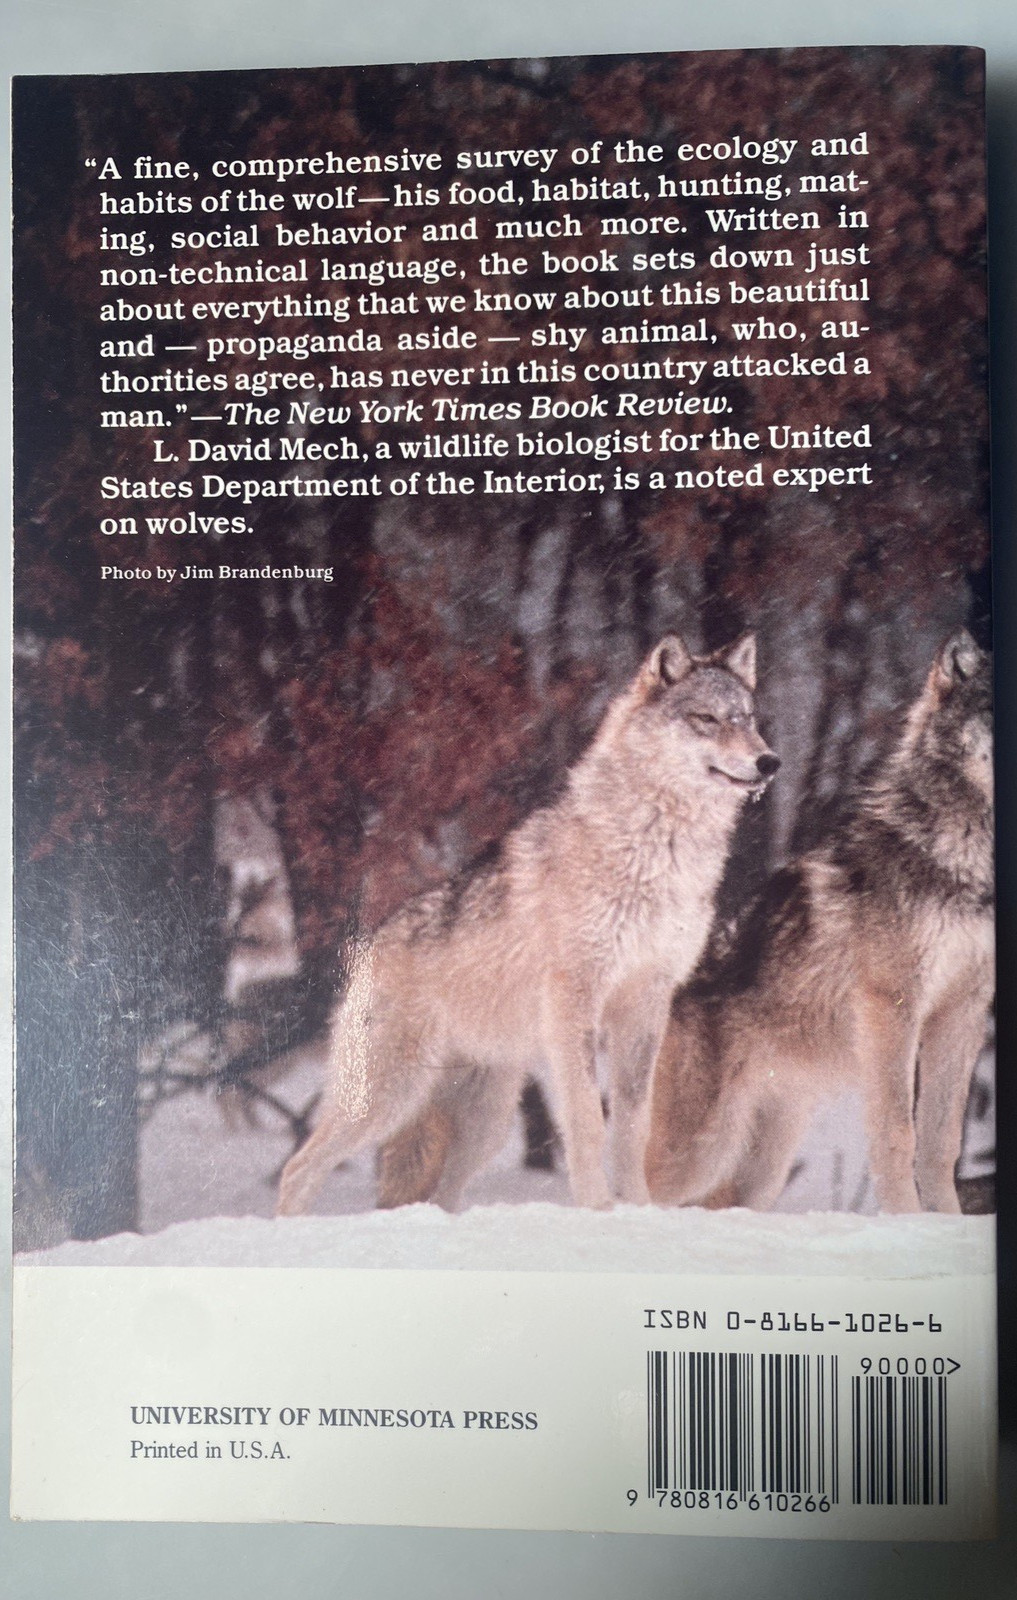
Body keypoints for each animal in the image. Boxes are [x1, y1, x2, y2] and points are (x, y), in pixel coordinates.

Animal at [277, 632, 779, 1215]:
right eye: (707, 719)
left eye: (749, 719)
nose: (770, 761)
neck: (660, 848)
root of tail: (369, 948)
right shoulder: (576, 1000)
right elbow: (587, 1122)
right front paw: (599, 1211)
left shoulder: (647, 1000)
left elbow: (633, 1127)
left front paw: (638, 1208)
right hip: (388, 1098)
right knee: (297, 1169)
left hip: (484, 1126)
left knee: (438, 1196)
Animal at [645, 630, 994, 1216]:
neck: (965, 859)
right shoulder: (891, 1005)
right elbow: (898, 1135)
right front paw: (906, 1220)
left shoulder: (963, 1011)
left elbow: (941, 1144)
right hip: (699, 1151)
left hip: (762, 1167)